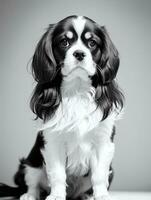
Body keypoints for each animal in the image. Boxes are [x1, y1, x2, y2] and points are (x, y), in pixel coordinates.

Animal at [0, 15, 124, 200]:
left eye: (92, 43)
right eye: (64, 42)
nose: (79, 53)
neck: (77, 91)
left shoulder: (103, 142)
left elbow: (99, 175)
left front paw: (101, 195)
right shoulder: (53, 143)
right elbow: (57, 174)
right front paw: (57, 195)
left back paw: (86, 196)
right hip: (30, 163)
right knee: (32, 182)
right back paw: (30, 195)